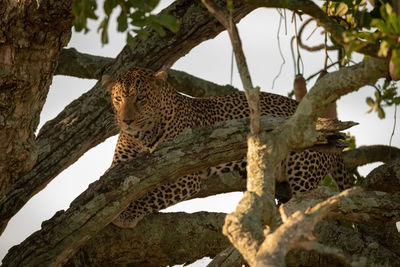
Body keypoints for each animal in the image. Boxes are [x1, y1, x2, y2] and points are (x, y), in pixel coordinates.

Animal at [102, 67, 354, 228]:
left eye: (141, 98)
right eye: (118, 99)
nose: (126, 121)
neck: (142, 135)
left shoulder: (185, 173)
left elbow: (152, 193)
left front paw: (127, 214)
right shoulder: (119, 168)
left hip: (303, 169)